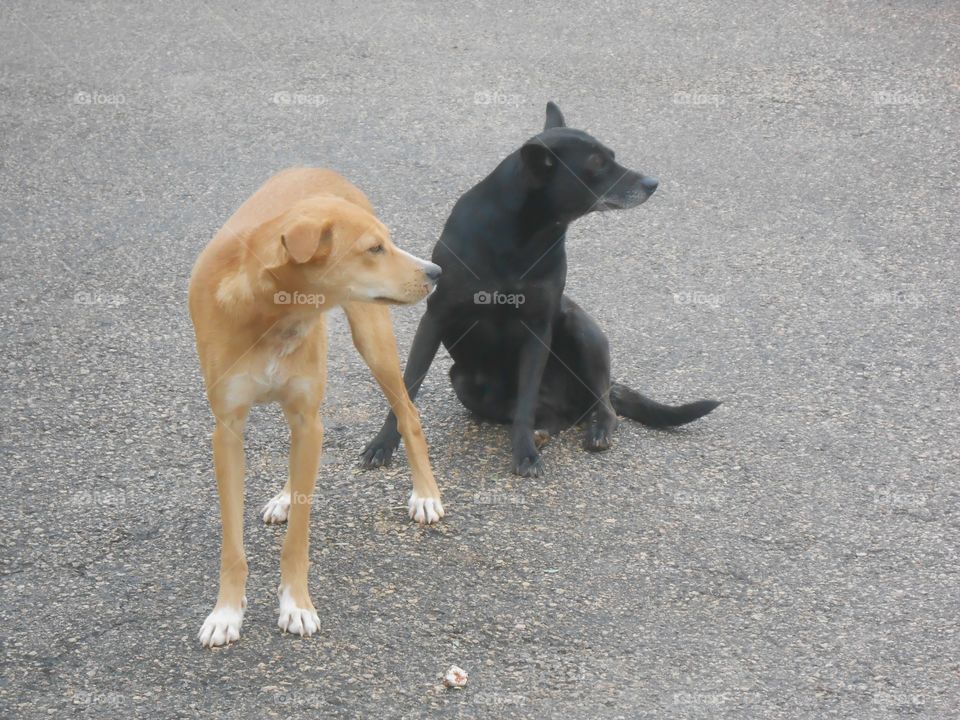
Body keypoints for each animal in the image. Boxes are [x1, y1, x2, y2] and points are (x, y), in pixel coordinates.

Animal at [189, 167, 444, 648]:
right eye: (374, 248)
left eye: (387, 242)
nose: (437, 270)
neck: (272, 311)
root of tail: (321, 171)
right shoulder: (228, 429)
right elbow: (232, 541)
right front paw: (226, 612)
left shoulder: (310, 419)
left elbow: (297, 542)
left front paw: (296, 605)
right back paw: (286, 497)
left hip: (372, 338)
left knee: (408, 415)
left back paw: (426, 495)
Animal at [362, 98, 720, 476]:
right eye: (597, 163)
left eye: (611, 155)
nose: (653, 183)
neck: (524, 233)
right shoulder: (436, 318)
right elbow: (406, 387)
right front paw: (384, 443)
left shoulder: (538, 327)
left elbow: (526, 398)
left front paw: (525, 454)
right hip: (462, 380)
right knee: (552, 416)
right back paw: (544, 431)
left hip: (582, 329)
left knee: (602, 407)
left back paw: (593, 429)